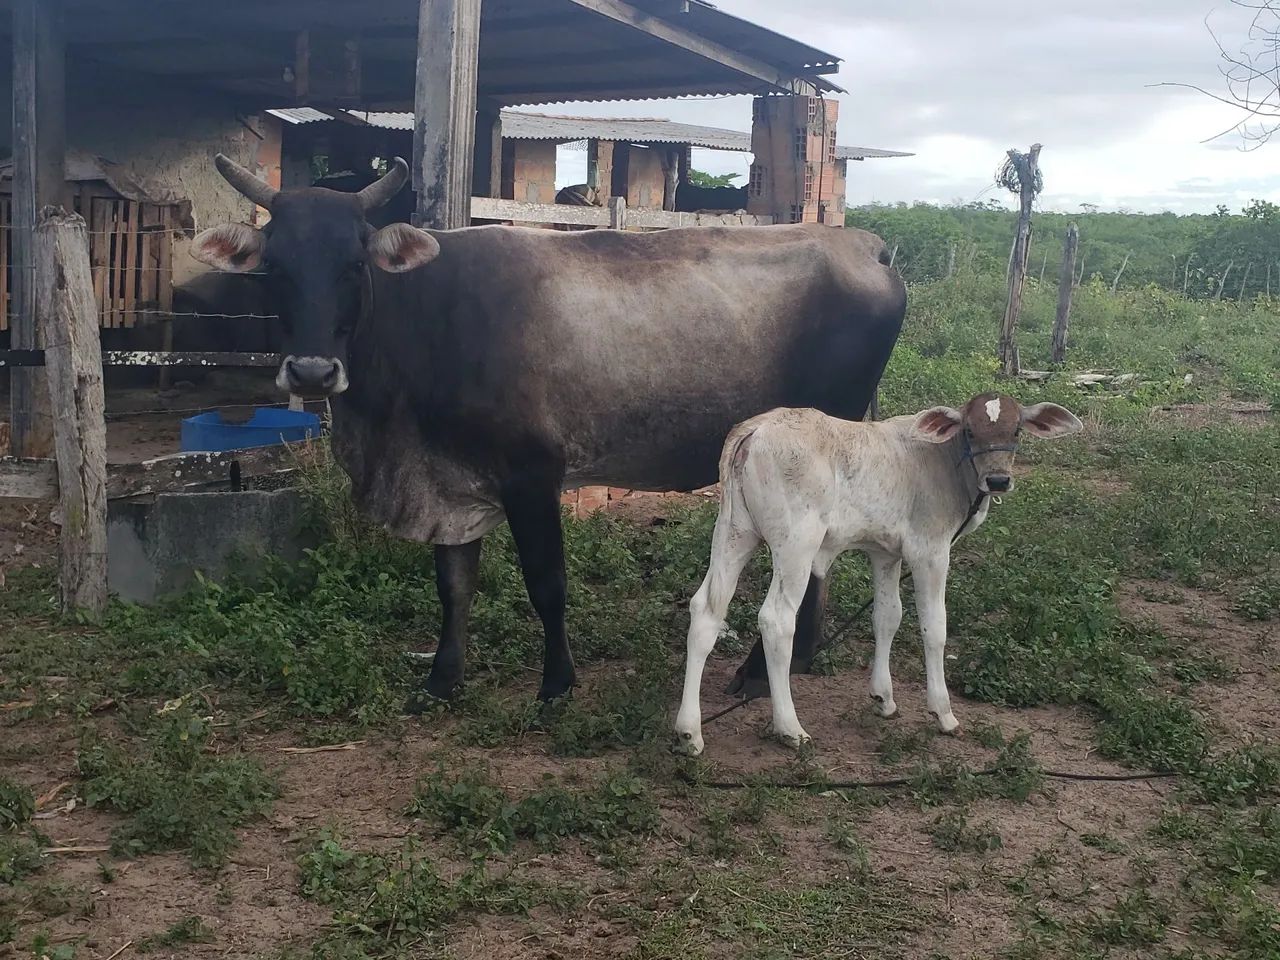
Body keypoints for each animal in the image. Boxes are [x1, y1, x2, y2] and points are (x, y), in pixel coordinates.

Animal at [189, 154, 906, 708]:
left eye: (353, 264)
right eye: (275, 268)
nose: (311, 371)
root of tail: (863, 244)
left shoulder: (531, 473)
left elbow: (546, 584)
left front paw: (556, 683)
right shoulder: (450, 482)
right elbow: (454, 585)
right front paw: (442, 680)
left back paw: (761, 671)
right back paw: (794, 659)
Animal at [673, 394, 1083, 756]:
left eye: (1016, 429)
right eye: (969, 430)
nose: (998, 480)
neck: (943, 460)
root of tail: (757, 427)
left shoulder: (885, 553)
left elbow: (887, 617)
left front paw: (883, 697)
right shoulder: (930, 551)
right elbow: (934, 627)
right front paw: (943, 712)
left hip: (734, 532)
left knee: (705, 611)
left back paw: (689, 732)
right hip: (796, 544)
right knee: (776, 620)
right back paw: (789, 728)